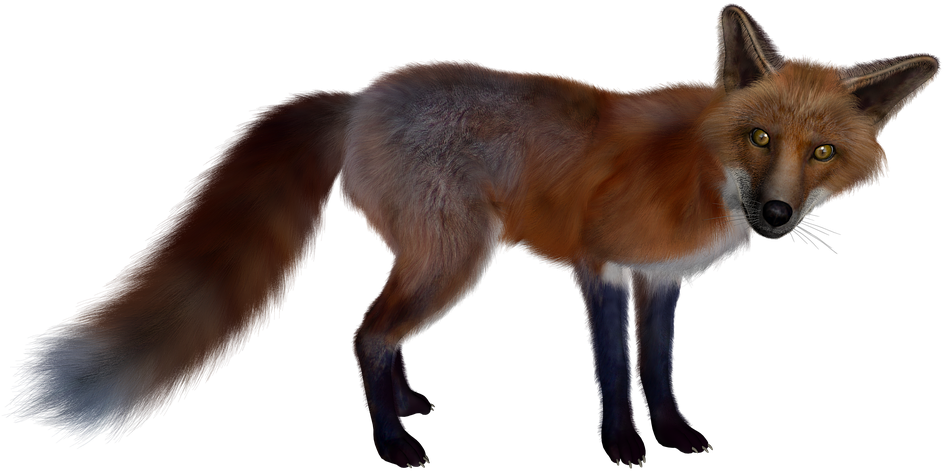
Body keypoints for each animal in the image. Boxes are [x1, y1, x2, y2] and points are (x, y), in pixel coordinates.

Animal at [5, 3, 939, 469]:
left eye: (821, 152)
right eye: (759, 137)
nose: (776, 216)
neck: (700, 166)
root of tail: (359, 96)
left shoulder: (661, 279)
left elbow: (662, 371)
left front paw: (673, 436)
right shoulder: (601, 266)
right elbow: (615, 375)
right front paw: (624, 448)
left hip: (436, 261)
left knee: (380, 333)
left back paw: (408, 402)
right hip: (457, 261)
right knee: (363, 331)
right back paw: (394, 444)